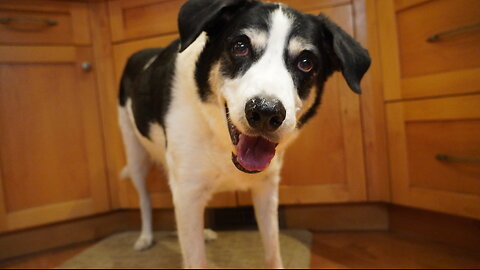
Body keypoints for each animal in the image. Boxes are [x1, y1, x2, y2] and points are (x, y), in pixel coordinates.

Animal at [117, 0, 372, 266]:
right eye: (240, 47)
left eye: (306, 62)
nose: (266, 112)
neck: (220, 136)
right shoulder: (188, 188)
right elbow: (195, 256)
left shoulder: (266, 188)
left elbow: (272, 249)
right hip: (135, 153)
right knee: (145, 197)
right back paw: (145, 237)